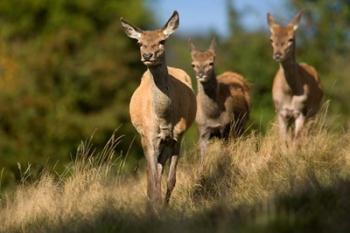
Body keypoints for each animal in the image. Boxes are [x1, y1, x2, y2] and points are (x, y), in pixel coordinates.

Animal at [120, 11, 197, 208]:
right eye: (140, 43)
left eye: (162, 41)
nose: (147, 55)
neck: (163, 117)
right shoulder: (149, 136)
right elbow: (153, 181)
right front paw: (156, 206)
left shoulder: (178, 136)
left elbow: (171, 180)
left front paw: (164, 207)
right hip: (144, 138)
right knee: (151, 175)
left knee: (160, 170)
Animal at [268, 10, 322, 142]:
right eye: (271, 39)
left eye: (291, 39)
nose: (277, 54)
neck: (290, 92)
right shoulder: (281, 112)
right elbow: (284, 140)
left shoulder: (301, 111)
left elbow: (296, 141)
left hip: (314, 112)